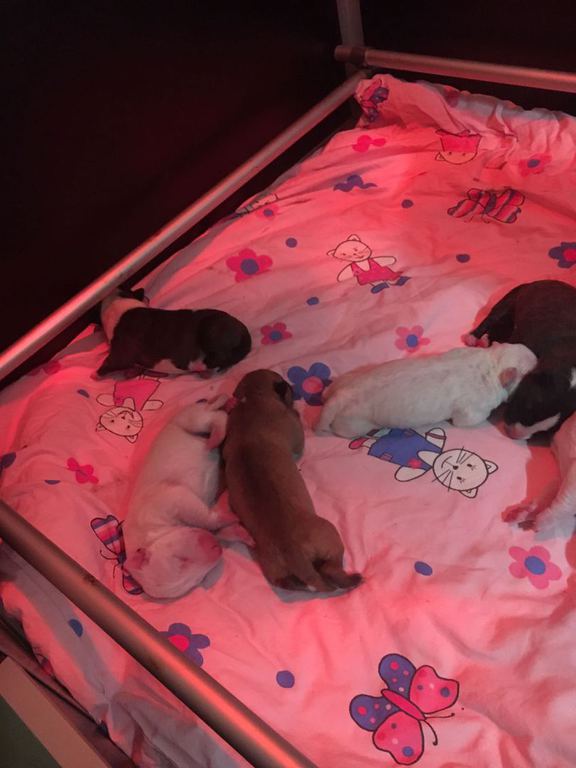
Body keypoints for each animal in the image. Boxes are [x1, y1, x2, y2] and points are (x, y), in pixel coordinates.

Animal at [97, 287, 251, 377]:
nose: (147, 297)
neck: (118, 302)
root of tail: (244, 332)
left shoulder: (122, 350)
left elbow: (112, 361)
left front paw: (97, 373)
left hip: (211, 330)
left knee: (221, 356)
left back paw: (202, 367)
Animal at [122, 396, 241, 599]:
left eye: (181, 559)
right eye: (198, 580)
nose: (216, 548)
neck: (151, 534)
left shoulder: (170, 498)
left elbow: (198, 511)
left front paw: (230, 515)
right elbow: (221, 529)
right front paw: (239, 530)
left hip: (187, 419)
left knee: (214, 416)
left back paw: (214, 435)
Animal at [222, 370, 361, 593]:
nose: (292, 390)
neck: (253, 400)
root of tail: (293, 553)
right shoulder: (296, 435)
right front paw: (295, 411)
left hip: (274, 570)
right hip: (330, 533)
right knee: (331, 567)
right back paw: (351, 579)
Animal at [317, 344, 537, 439]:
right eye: (529, 371)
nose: (539, 358)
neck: (492, 364)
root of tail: (340, 396)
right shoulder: (472, 410)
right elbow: (467, 421)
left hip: (345, 379)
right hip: (353, 423)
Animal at [465, 280, 576, 439]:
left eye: (547, 431)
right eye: (529, 406)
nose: (514, 435)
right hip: (508, 301)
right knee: (490, 319)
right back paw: (473, 337)